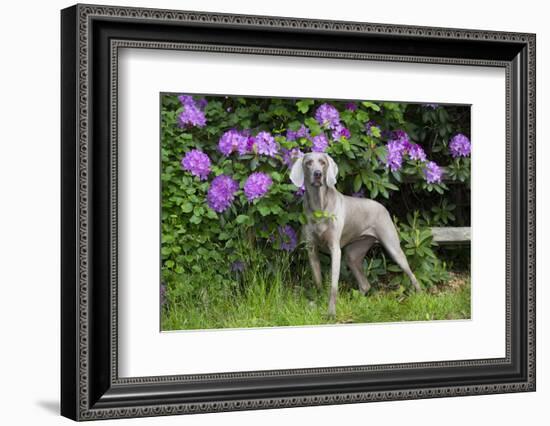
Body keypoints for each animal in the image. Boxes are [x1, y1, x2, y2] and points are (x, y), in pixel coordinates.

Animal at [288, 152, 422, 316]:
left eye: (323, 162)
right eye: (308, 163)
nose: (318, 174)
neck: (319, 206)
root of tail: (382, 206)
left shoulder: (335, 249)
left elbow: (333, 285)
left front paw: (331, 312)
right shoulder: (311, 248)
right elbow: (318, 280)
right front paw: (318, 304)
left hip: (393, 247)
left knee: (411, 274)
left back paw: (420, 296)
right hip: (353, 254)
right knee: (365, 284)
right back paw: (357, 302)